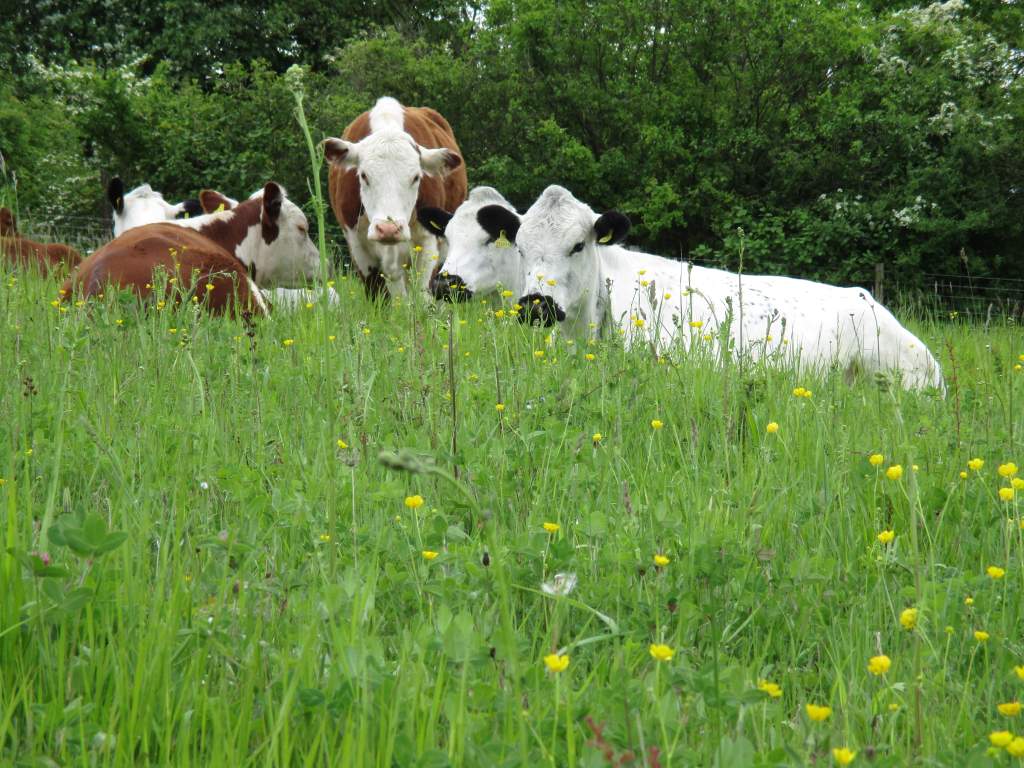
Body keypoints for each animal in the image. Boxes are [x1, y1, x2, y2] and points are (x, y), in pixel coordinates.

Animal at [323, 96, 468, 301]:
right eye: (363, 175)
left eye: (416, 177)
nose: (388, 229)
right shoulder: (358, 246)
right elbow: (379, 296)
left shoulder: (428, 244)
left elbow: (423, 296)